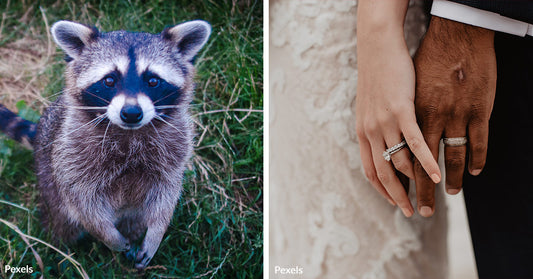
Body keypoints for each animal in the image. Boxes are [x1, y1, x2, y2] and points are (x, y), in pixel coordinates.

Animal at [0, 19, 211, 270]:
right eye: (109, 80)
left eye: (153, 80)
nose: (131, 113)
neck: (129, 133)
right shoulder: (71, 154)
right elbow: (82, 202)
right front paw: (108, 236)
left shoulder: (175, 149)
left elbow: (166, 195)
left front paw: (156, 233)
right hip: (48, 178)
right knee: (61, 222)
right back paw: (61, 253)